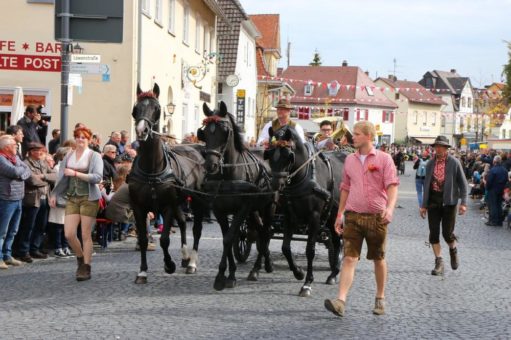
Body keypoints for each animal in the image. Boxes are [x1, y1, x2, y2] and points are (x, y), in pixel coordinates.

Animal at [128, 83, 206, 282]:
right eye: (136, 108)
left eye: (157, 108)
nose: (142, 131)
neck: (152, 169)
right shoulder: (138, 207)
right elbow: (143, 239)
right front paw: (142, 271)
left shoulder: (167, 206)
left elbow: (164, 240)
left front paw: (169, 265)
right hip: (180, 200)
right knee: (184, 222)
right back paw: (185, 258)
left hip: (197, 201)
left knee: (197, 229)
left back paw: (192, 263)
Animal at [198, 101, 276, 290]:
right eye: (204, 132)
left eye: (224, 132)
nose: (211, 165)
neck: (227, 175)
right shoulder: (219, 210)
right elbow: (227, 238)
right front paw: (226, 274)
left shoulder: (242, 208)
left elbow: (229, 237)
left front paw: (225, 276)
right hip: (254, 210)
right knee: (260, 232)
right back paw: (265, 262)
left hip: (268, 207)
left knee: (266, 232)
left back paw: (258, 268)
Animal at [264, 125, 344, 298]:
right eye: (269, 153)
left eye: (288, 156)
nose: (276, 185)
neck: (302, 176)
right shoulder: (289, 216)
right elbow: (285, 248)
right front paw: (298, 272)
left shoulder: (314, 217)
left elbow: (310, 250)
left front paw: (307, 283)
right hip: (331, 216)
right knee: (337, 240)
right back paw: (334, 273)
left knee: (340, 240)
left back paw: (335, 270)